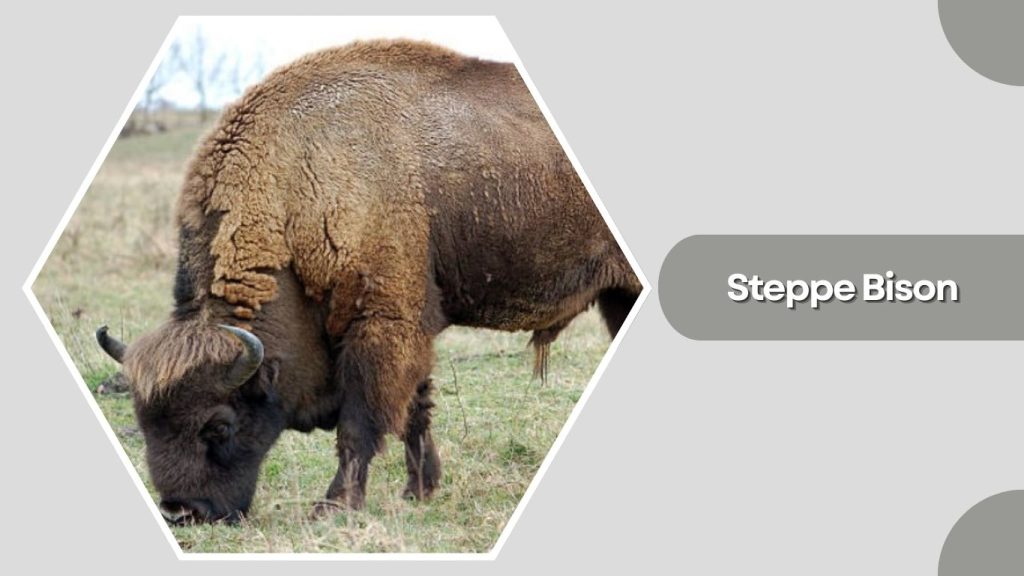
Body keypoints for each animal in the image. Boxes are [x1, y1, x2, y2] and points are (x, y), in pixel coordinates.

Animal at [96, 39, 641, 524]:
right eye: (143, 421)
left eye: (219, 425)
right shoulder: (411, 328)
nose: (180, 511)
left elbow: (361, 424)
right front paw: (418, 491)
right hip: (618, 297)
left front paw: (333, 508)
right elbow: (416, 409)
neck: (296, 186)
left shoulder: (381, 324)